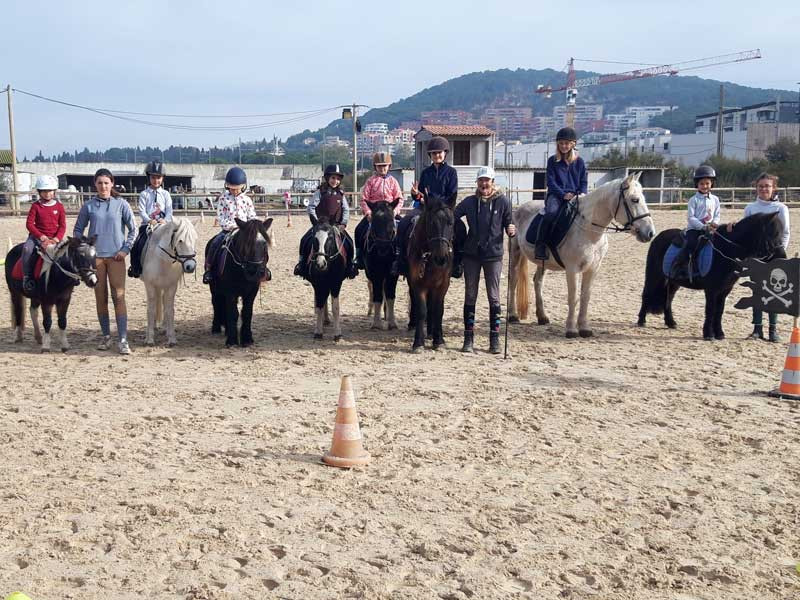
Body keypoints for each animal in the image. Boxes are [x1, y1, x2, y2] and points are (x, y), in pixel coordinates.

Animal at [206, 216, 276, 346]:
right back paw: (216, 327)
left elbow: (247, 313)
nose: (254, 271)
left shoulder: (252, 291)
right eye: (245, 242)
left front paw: (247, 339)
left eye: (264, 243)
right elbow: (233, 313)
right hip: (213, 288)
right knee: (216, 303)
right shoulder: (230, 292)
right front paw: (232, 340)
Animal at [362, 198, 400, 328]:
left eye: (391, 219)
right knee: (372, 289)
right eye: (374, 221)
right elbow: (377, 296)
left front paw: (392, 322)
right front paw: (376, 323)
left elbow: (390, 296)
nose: (383, 246)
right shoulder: (374, 273)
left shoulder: (392, 274)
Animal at [406, 192, 456, 352]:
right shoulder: (418, 283)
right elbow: (422, 310)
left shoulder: (443, 285)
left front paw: (438, 340)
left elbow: (438, 310)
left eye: (450, 223)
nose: (441, 258)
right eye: (431, 223)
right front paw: (418, 343)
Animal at [512, 173, 656, 338]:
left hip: (542, 262)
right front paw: (571, 329)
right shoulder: (572, 268)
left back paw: (542, 317)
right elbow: (573, 297)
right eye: (635, 200)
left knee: (538, 282)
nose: (650, 232)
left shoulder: (593, 268)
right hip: (515, 251)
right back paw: (512, 315)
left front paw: (585, 328)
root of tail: (520, 209)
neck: (588, 230)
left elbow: (586, 296)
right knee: (513, 280)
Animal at [640, 213, 784, 340]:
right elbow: (710, 309)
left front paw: (719, 333)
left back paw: (671, 322)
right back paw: (641, 320)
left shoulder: (725, 289)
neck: (726, 250)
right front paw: (709, 334)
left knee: (669, 298)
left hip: (673, 282)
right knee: (646, 294)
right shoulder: (711, 289)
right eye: (774, 233)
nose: (783, 257)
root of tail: (658, 237)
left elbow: (719, 311)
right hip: (654, 275)